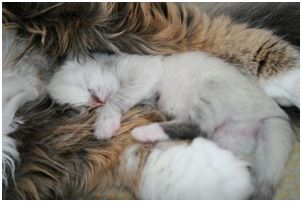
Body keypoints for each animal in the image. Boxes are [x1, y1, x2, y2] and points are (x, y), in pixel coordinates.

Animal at [47, 51, 294, 200]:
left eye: (88, 89)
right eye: (87, 108)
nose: (98, 101)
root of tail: (276, 116)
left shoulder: (143, 71)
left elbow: (118, 98)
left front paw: (105, 124)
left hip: (211, 92)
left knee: (198, 126)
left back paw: (145, 132)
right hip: (227, 137)